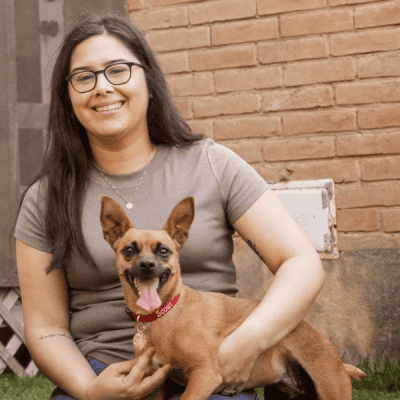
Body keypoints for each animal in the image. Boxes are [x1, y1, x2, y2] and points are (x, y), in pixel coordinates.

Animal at [100, 195, 366, 398]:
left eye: (163, 251)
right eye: (129, 250)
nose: (147, 265)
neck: (164, 315)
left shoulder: (204, 376)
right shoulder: (152, 383)